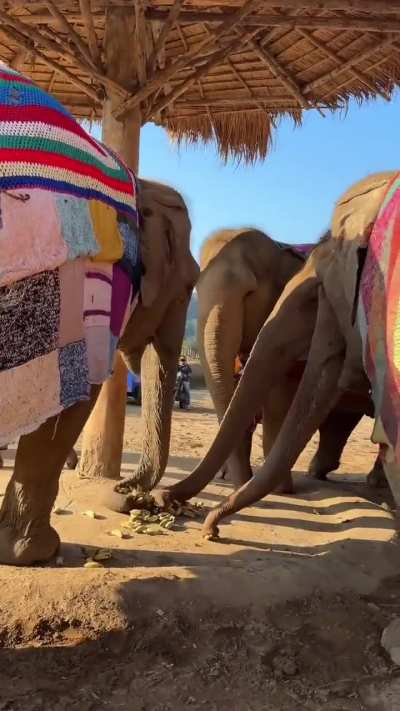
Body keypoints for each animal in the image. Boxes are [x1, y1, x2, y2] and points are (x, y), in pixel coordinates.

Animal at [197, 227, 382, 491]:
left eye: (249, 291)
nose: (238, 483)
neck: (280, 247)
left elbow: (277, 397)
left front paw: (281, 490)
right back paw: (319, 472)